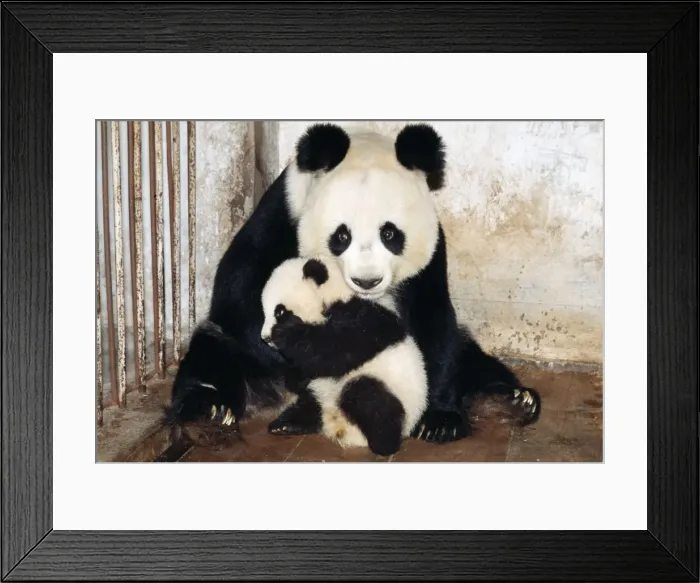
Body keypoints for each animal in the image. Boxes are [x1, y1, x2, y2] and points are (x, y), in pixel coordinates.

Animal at [259, 255, 428, 456]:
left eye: (279, 311)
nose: (265, 338)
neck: (338, 293)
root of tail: (339, 424)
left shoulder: (366, 320)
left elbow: (334, 350)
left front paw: (286, 331)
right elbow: (311, 365)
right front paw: (293, 374)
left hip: (395, 392)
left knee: (370, 399)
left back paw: (384, 442)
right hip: (320, 391)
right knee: (309, 403)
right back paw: (285, 425)